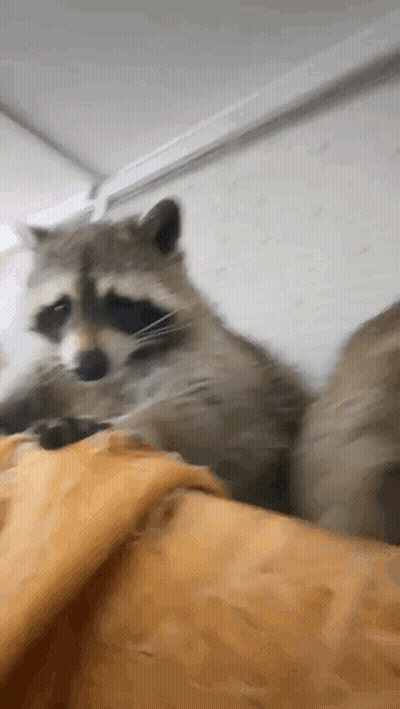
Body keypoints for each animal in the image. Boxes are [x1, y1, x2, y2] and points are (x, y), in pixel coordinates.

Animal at [0, 198, 307, 512]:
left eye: (119, 303)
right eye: (61, 308)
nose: (88, 367)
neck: (120, 368)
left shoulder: (218, 360)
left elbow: (206, 406)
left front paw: (122, 424)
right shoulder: (55, 367)